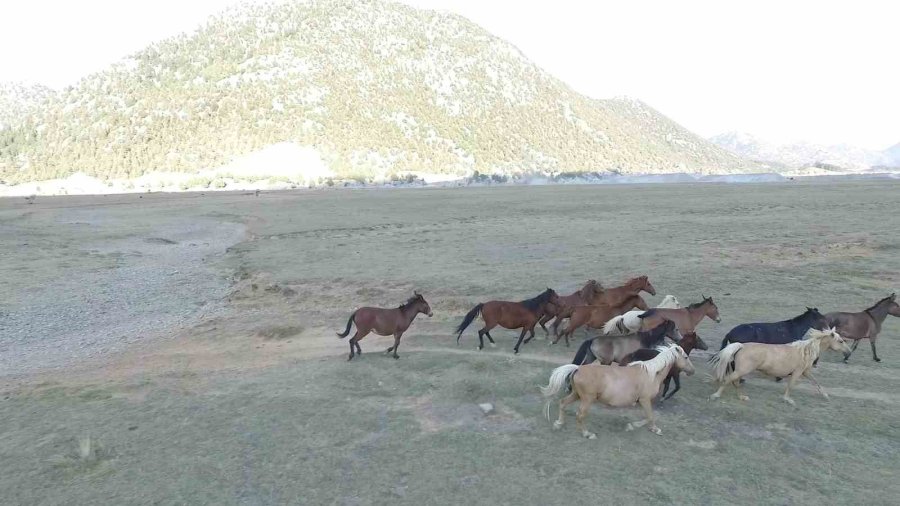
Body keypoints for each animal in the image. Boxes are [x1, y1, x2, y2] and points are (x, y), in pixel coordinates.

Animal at [712, 328, 852, 408]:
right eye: (840, 341)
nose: (849, 352)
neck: (805, 351)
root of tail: (741, 346)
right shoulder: (798, 372)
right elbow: (791, 385)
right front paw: (788, 400)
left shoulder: (805, 372)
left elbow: (816, 382)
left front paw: (826, 396)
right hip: (742, 370)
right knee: (729, 379)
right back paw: (716, 395)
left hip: (741, 371)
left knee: (735, 382)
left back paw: (742, 397)